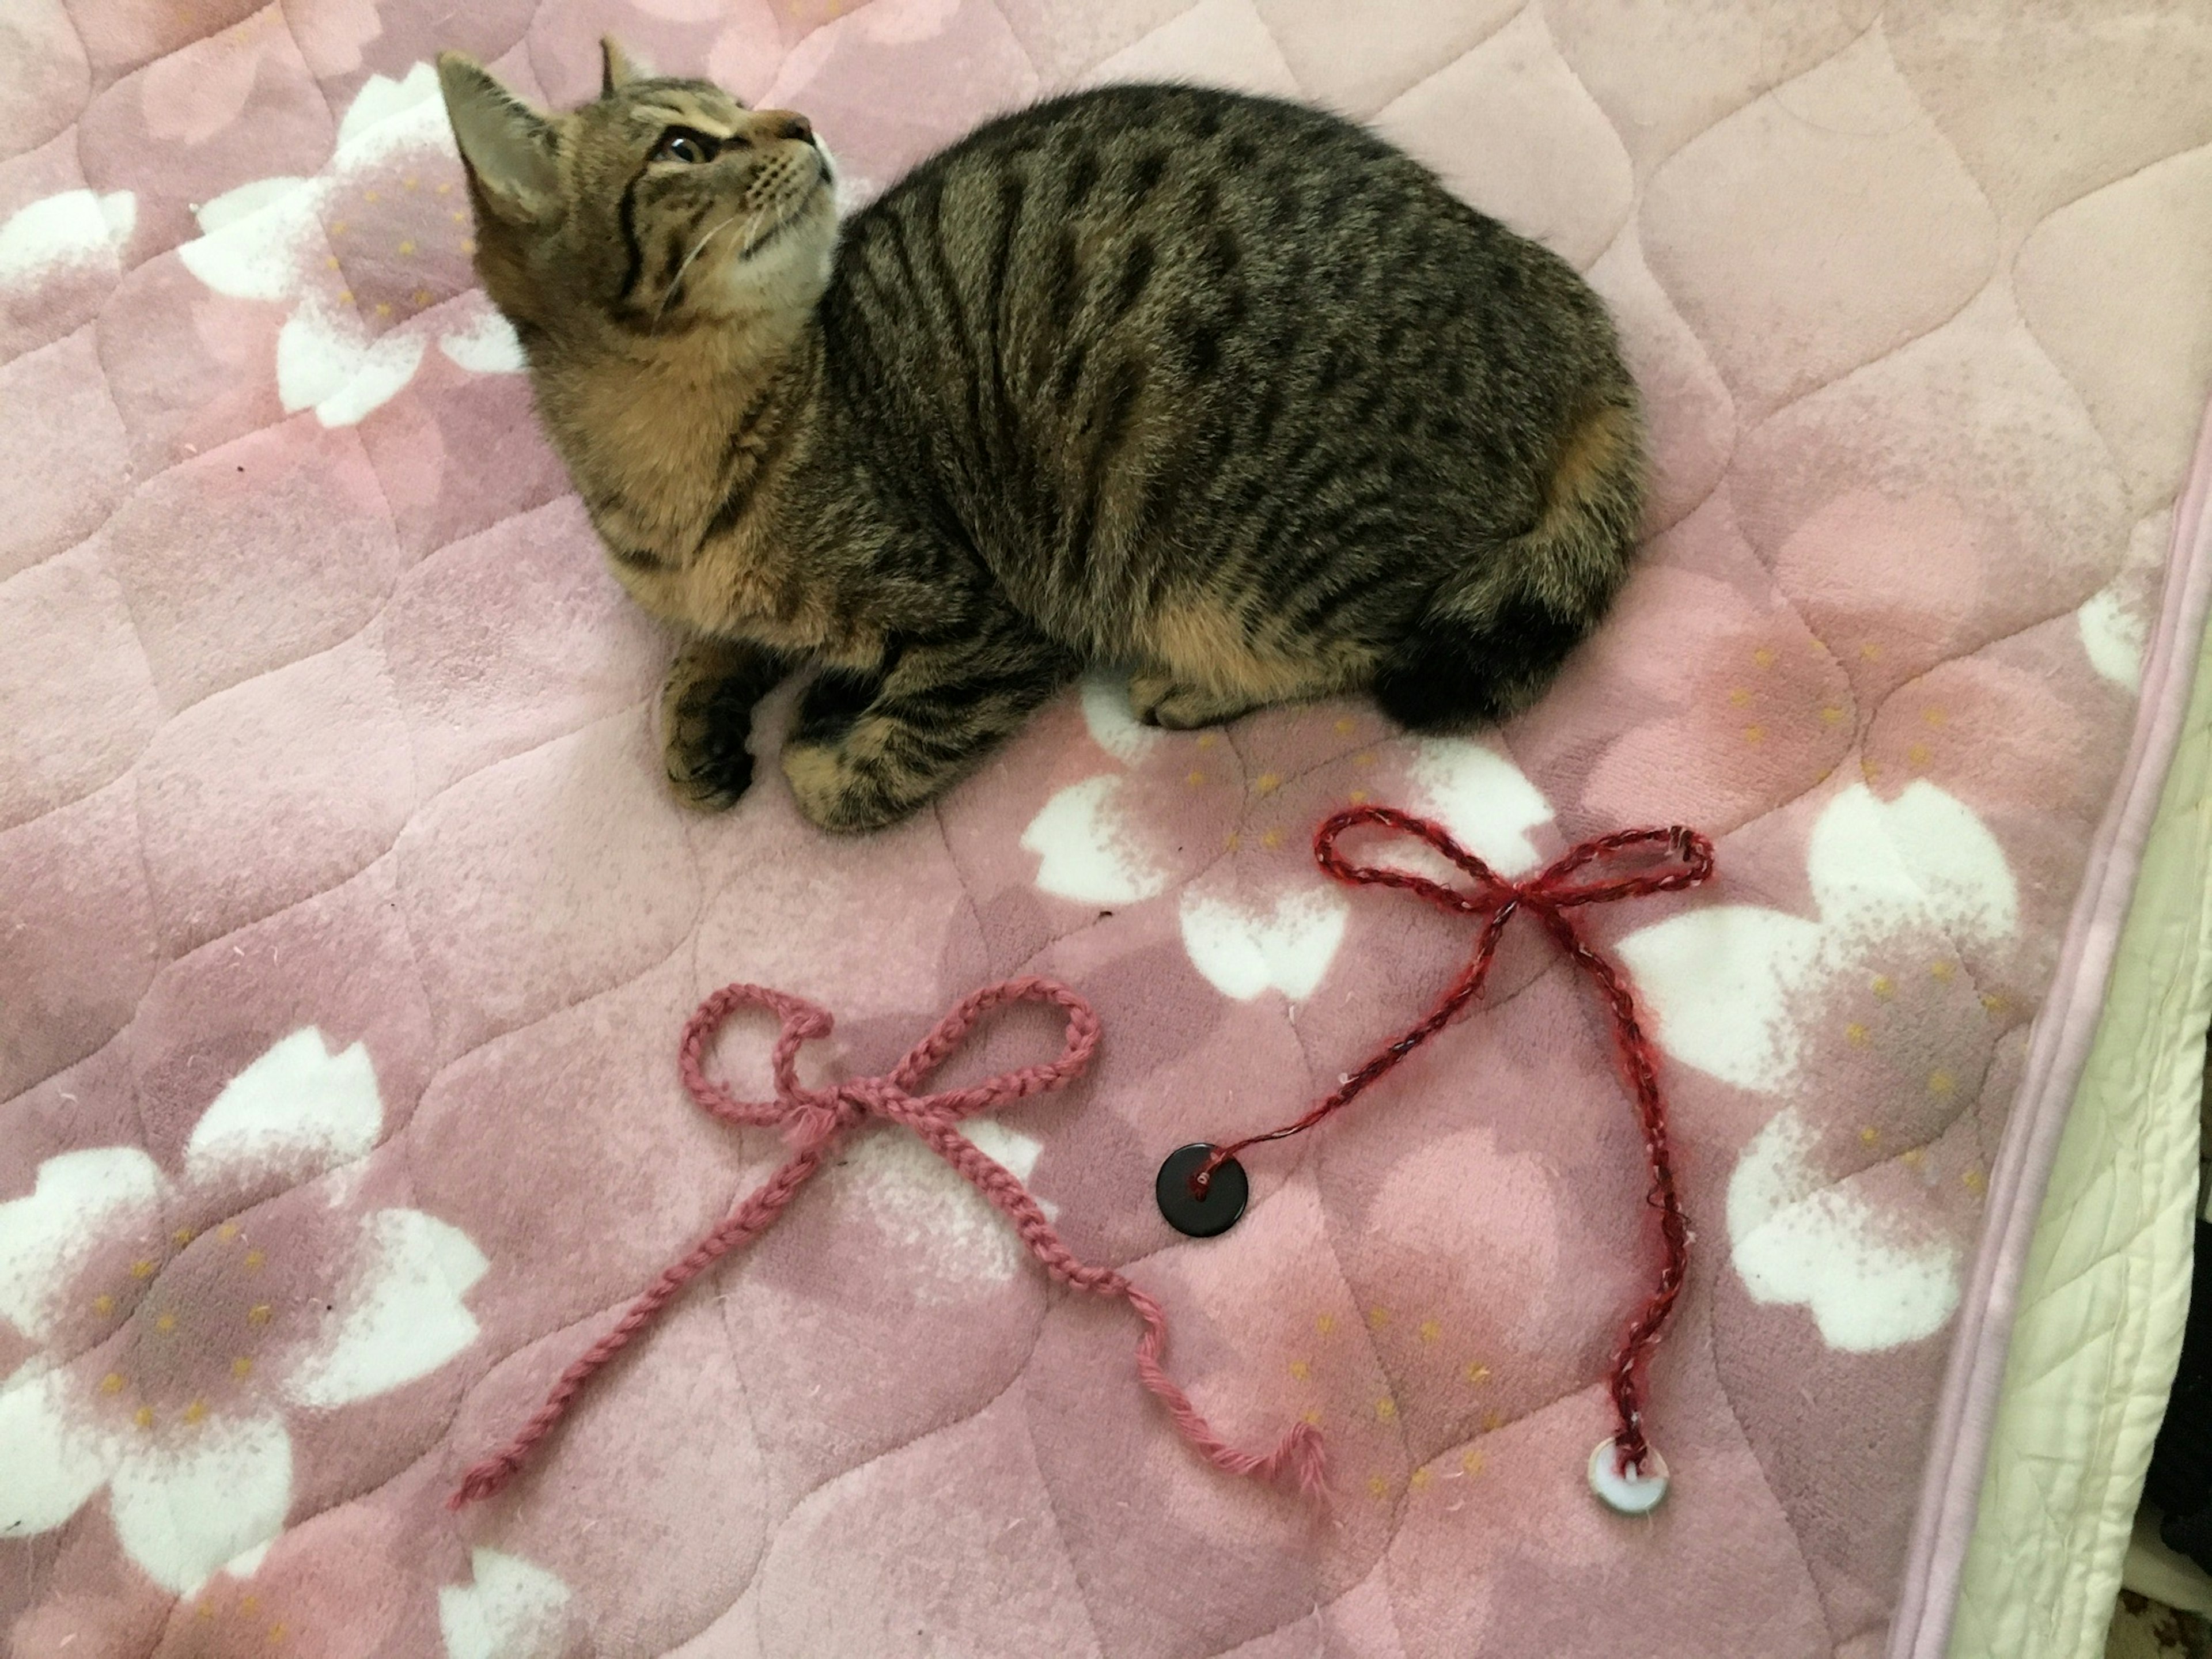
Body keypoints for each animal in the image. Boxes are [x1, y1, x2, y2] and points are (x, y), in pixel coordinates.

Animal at [440, 42, 1645, 831]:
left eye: (740, 108)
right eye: (685, 147)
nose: (800, 124)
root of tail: (1542, 291)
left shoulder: (987, 626)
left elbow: (857, 777)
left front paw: (821, 730)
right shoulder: (731, 599)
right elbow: (705, 651)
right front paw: (703, 721)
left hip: (1234, 558)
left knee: (1382, 637)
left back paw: (1194, 687)